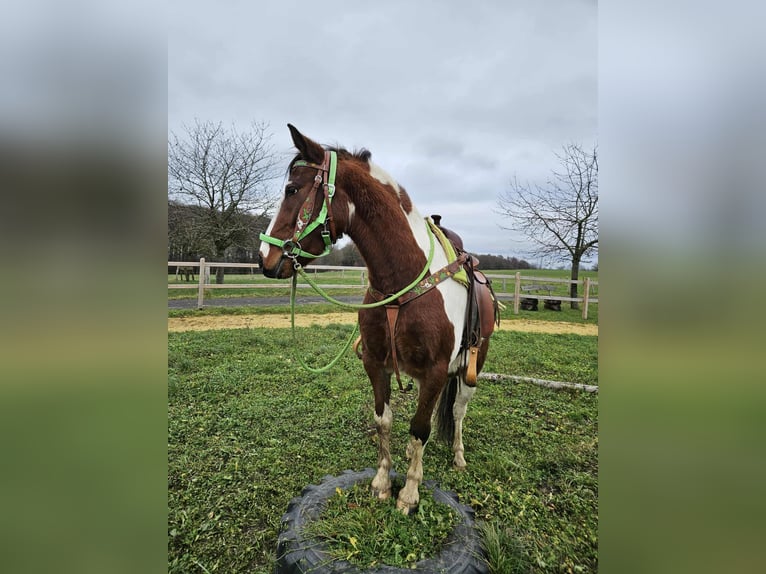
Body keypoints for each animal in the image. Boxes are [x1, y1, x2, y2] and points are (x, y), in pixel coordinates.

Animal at [259, 124, 496, 514]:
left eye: (292, 190)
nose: (264, 257)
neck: (402, 282)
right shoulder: (376, 363)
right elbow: (385, 422)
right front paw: (383, 483)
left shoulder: (435, 370)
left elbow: (419, 428)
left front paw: (409, 494)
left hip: (470, 367)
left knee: (459, 410)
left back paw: (458, 456)